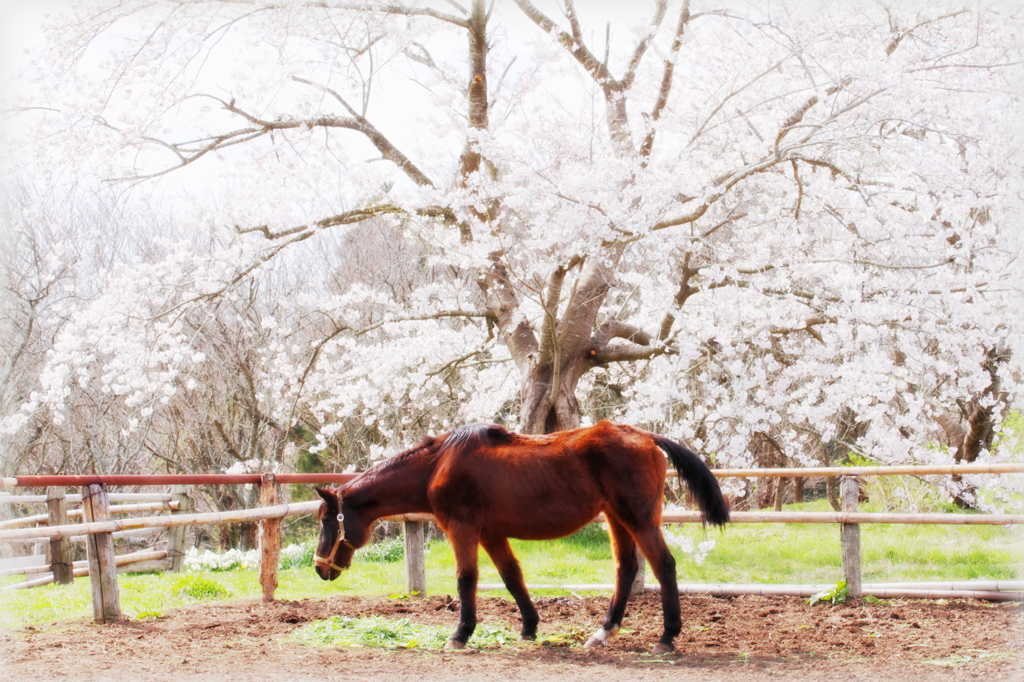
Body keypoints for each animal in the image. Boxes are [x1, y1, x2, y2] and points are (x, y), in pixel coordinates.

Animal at [311, 419, 729, 647]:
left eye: (327, 520)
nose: (319, 567)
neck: (438, 464)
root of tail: (645, 436)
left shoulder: (462, 529)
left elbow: (466, 580)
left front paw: (461, 634)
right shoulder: (491, 534)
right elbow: (512, 577)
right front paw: (529, 626)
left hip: (638, 519)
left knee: (663, 565)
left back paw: (667, 636)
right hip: (616, 518)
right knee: (626, 569)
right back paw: (603, 632)